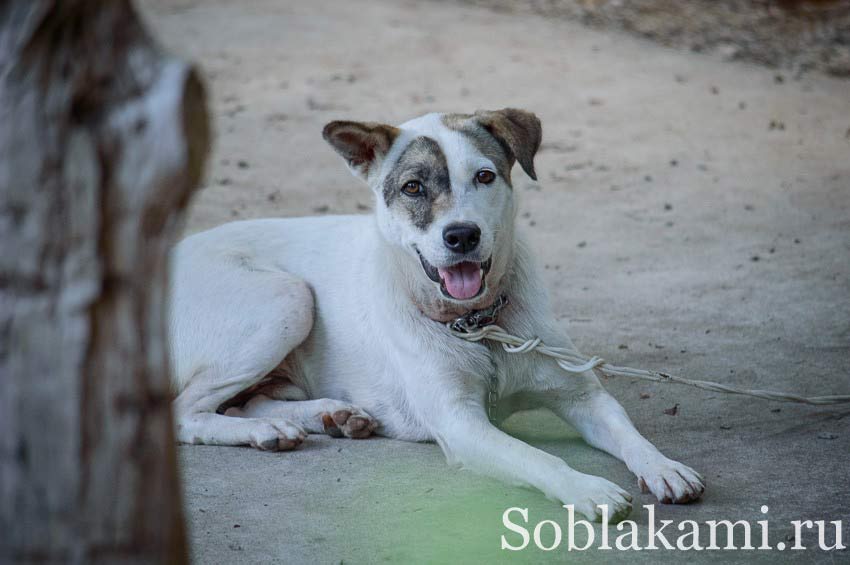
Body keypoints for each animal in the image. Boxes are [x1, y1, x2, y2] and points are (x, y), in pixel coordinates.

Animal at [167, 109, 704, 520]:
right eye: (412, 187)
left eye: (485, 176)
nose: (461, 235)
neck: (480, 324)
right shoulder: (461, 424)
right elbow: (535, 457)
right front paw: (587, 488)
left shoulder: (581, 396)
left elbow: (629, 432)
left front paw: (664, 467)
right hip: (288, 299)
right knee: (188, 413)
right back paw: (269, 430)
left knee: (249, 400)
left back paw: (324, 417)